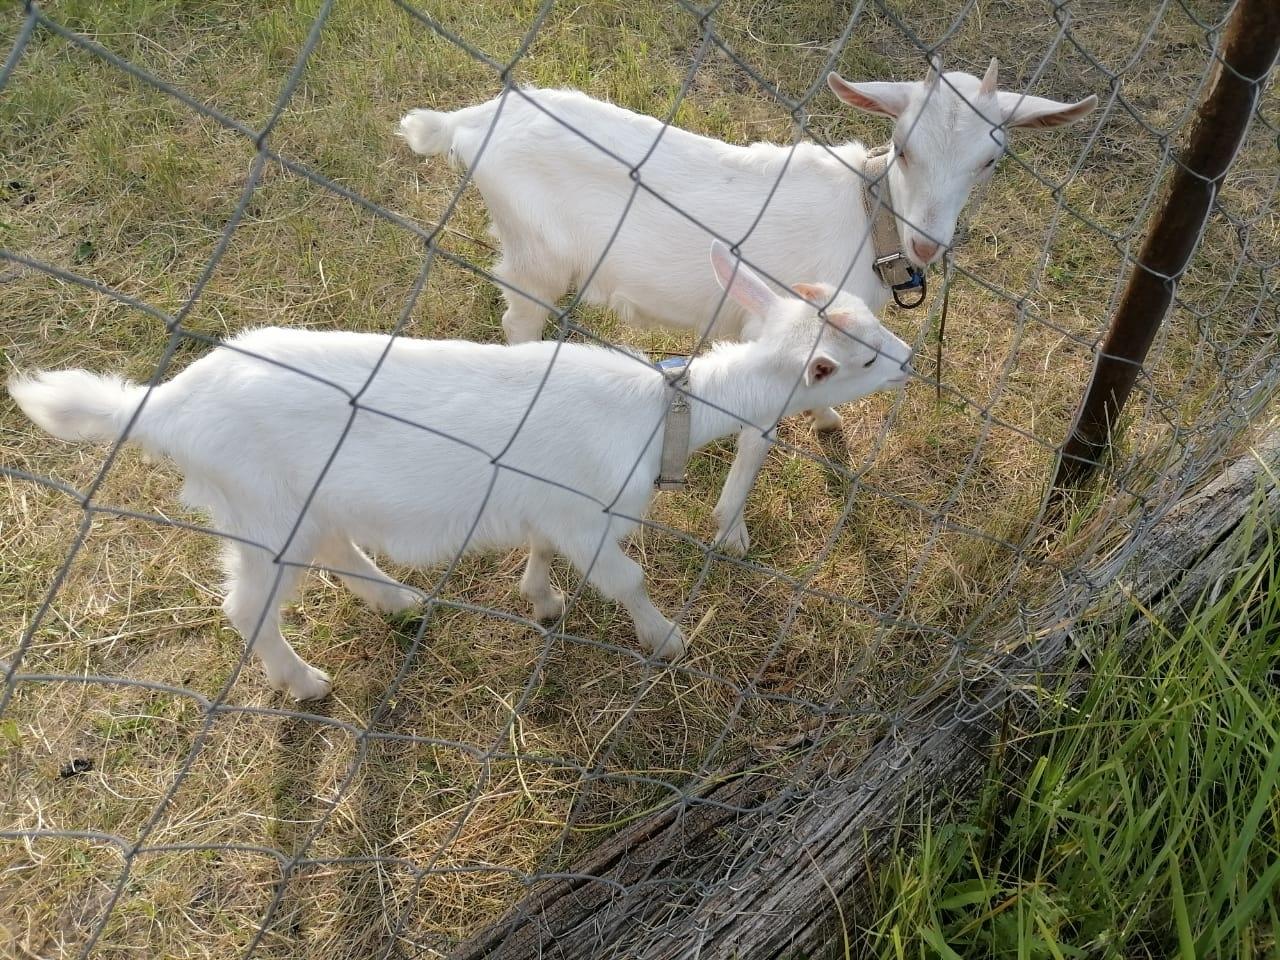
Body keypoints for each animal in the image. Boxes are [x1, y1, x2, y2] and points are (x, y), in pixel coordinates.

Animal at [7, 244, 911, 701]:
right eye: (859, 359)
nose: (906, 358)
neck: (665, 411)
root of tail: (164, 405)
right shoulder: (586, 514)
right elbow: (625, 579)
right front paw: (666, 639)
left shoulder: (550, 506)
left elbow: (543, 555)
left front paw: (541, 601)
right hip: (258, 509)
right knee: (246, 605)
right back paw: (304, 682)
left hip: (300, 502)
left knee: (337, 548)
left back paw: (398, 601)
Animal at [401, 58, 1100, 555]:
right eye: (904, 148)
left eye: (990, 160)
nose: (928, 241)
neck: (869, 218)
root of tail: (469, 121)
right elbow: (758, 434)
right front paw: (731, 531)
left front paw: (827, 422)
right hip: (536, 255)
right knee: (517, 319)